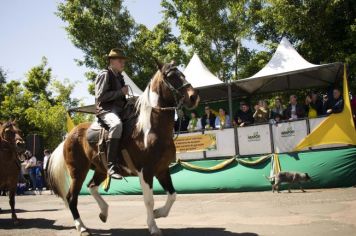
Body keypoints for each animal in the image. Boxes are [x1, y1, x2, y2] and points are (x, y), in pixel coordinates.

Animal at [46, 60, 200, 234]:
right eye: (171, 76)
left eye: (182, 74)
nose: (194, 97)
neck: (151, 129)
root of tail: (68, 137)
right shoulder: (145, 171)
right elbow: (149, 200)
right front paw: (153, 226)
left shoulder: (162, 169)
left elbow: (173, 195)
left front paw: (158, 213)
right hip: (77, 172)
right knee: (72, 197)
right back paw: (82, 227)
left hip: (100, 169)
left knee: (91, 186)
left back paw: (104, 212)